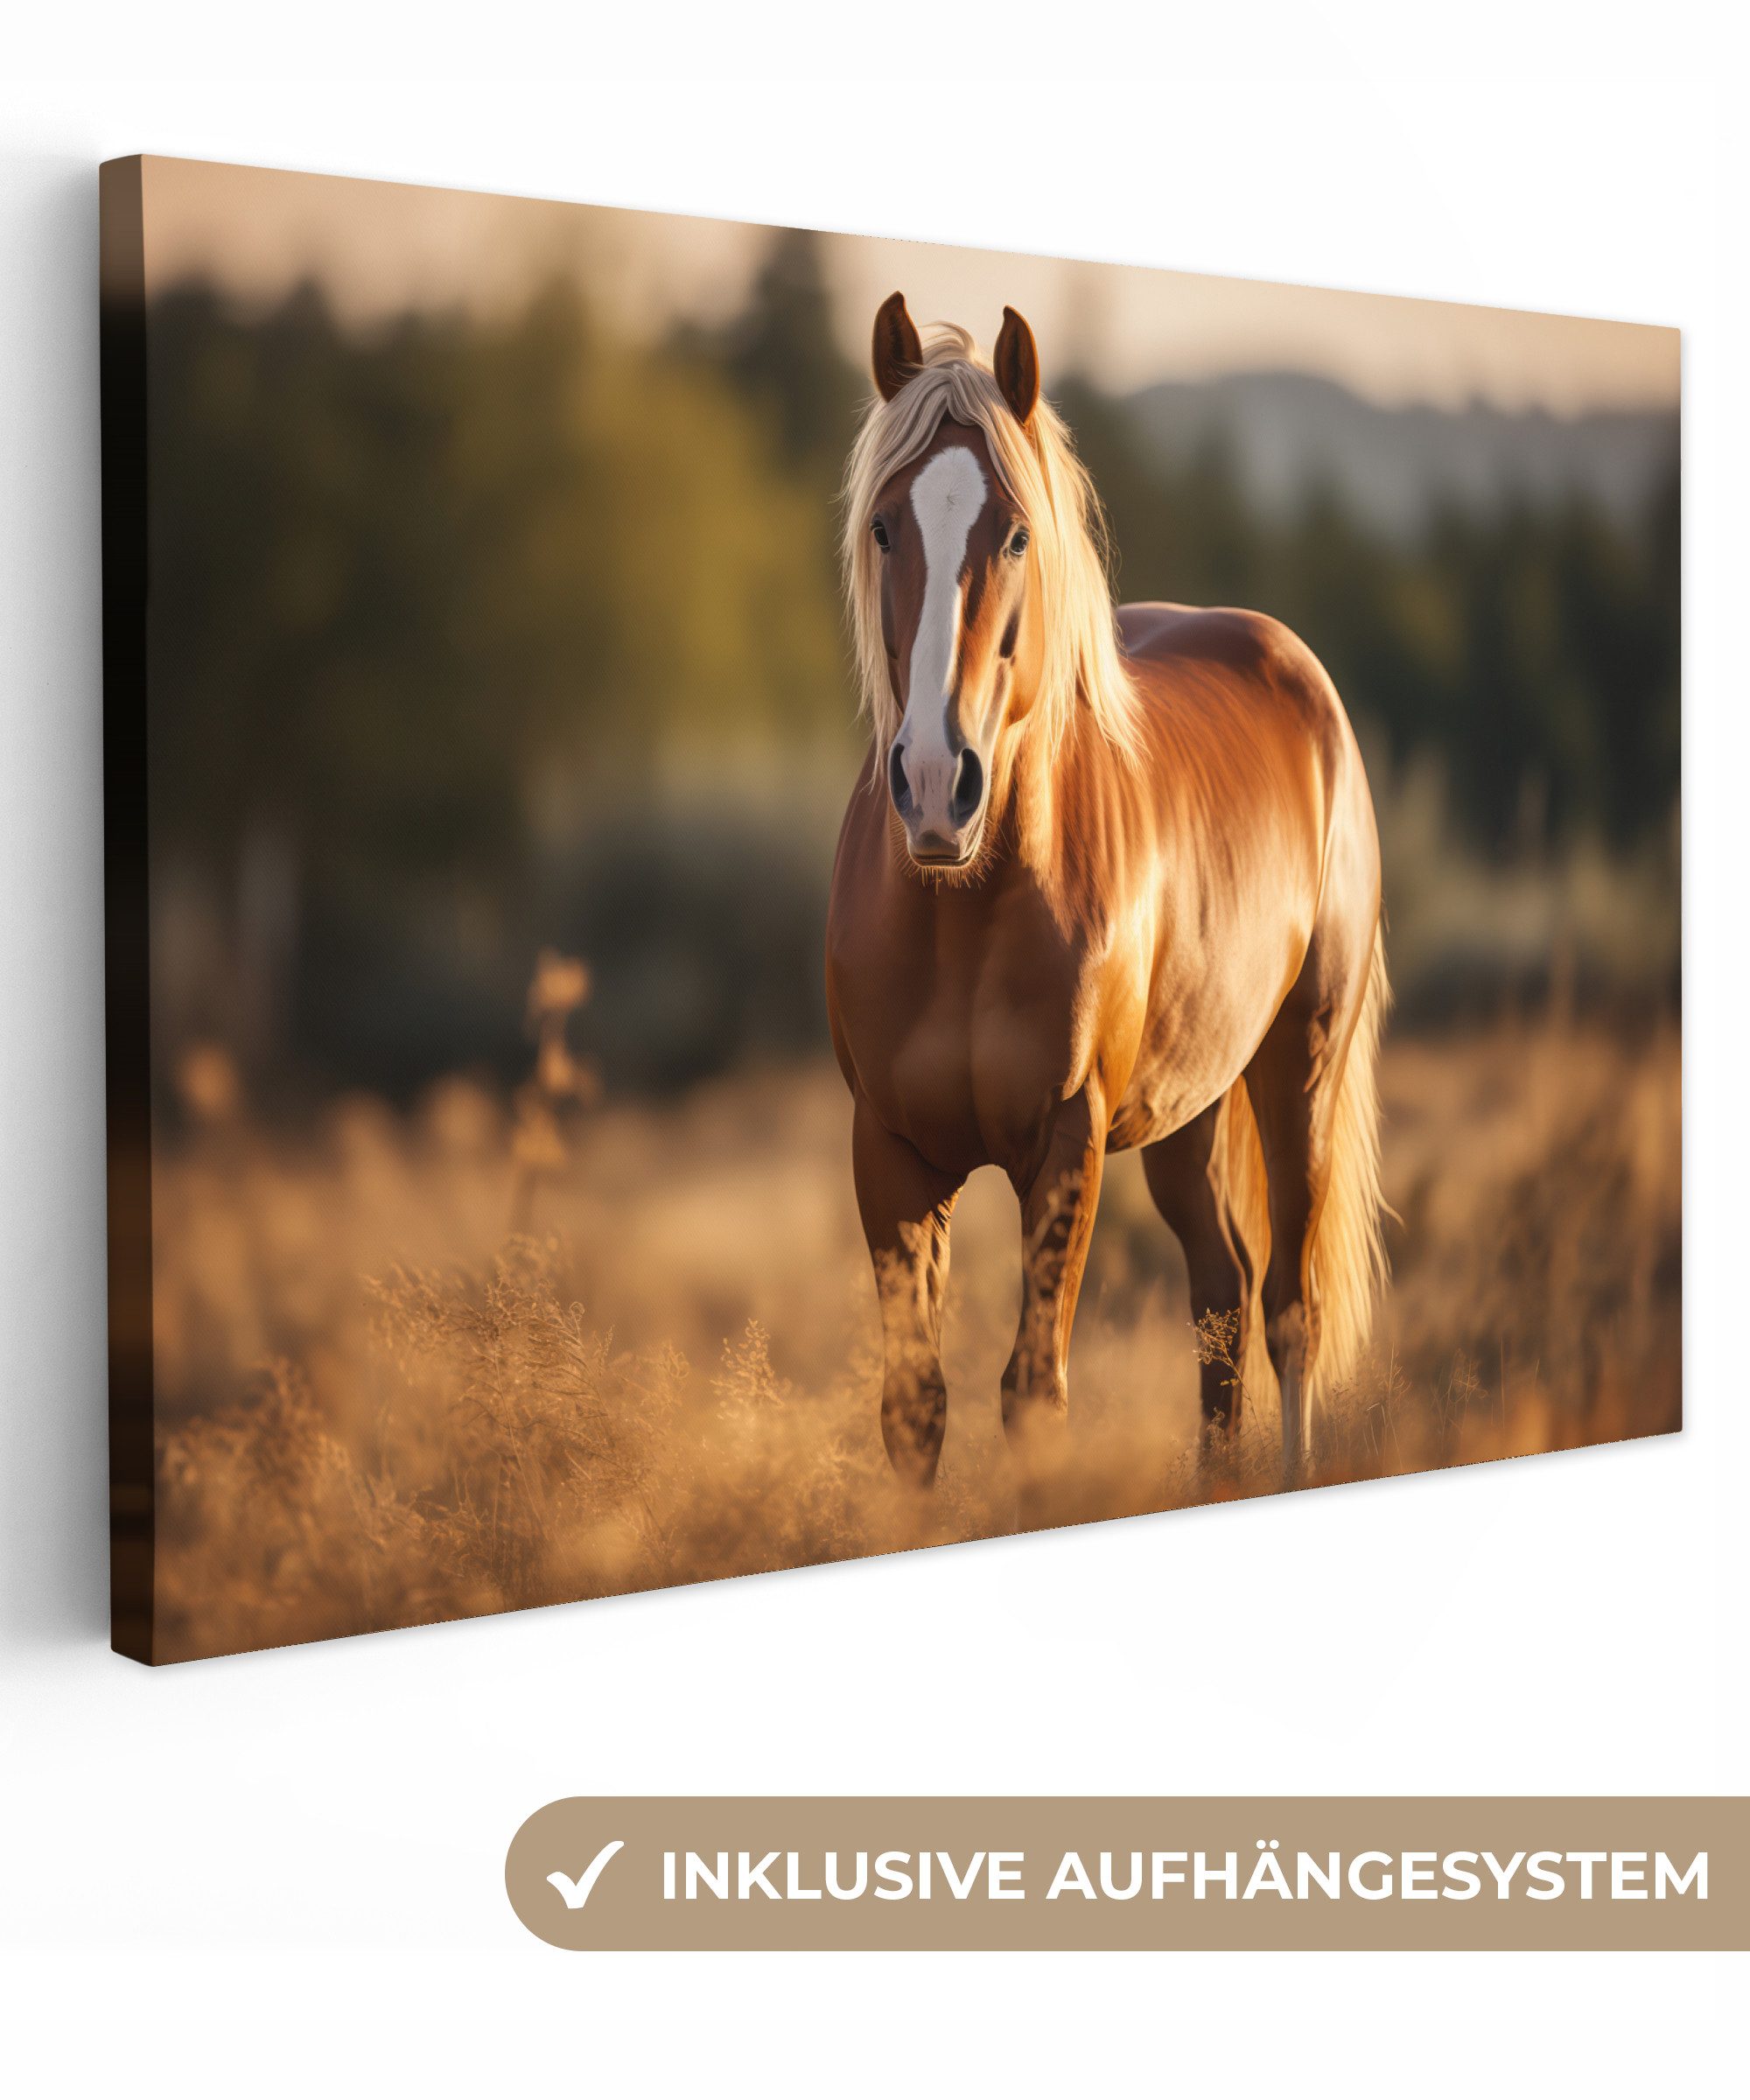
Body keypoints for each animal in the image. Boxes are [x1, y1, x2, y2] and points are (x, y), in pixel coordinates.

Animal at [824, 294, 1390, 1491]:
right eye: (886, 526)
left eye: (1015, 533)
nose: (936, 785)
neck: (961, 911)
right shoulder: (889, 1150)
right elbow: (914, 1407)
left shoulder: (1065, 1140)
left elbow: (1032, 1393)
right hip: (1188, 1111)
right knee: (1221, 1298)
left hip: (1299, 1067)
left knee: (1289, 1311)